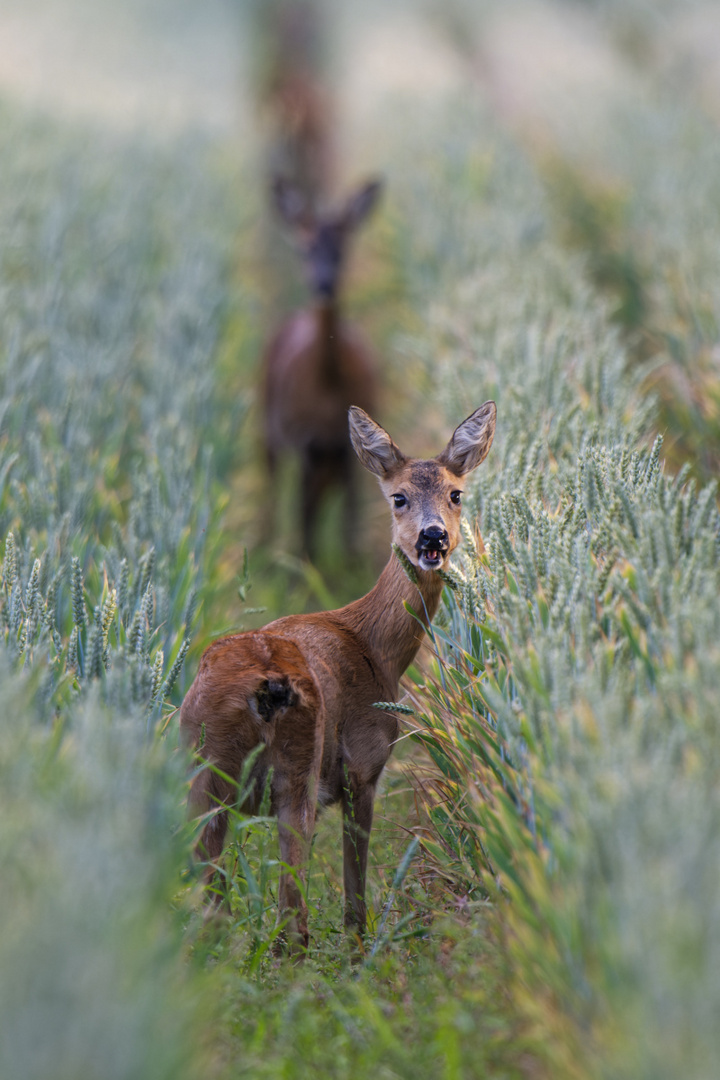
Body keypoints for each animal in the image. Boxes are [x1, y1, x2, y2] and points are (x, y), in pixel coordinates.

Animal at [180, 403, 498, 954]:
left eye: (456, 493)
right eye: (398, 497)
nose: (432, 537)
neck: (374, 648)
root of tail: (266, 687)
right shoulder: (364, 764)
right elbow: (355, 884)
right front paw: (357, 949)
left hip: (203, 769)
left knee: (214, 898)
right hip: (297, 770)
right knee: (291, 909)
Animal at [260, 174, 382, 557]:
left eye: (342, 248)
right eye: (305, 248)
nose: (324, 283)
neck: (327, 387)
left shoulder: (347, 445)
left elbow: (349, 514)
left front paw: (353, 560)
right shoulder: (302, 437)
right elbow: (305, 514)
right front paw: (305, 566)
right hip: (268, 420)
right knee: (275, 481)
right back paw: (268, 542)